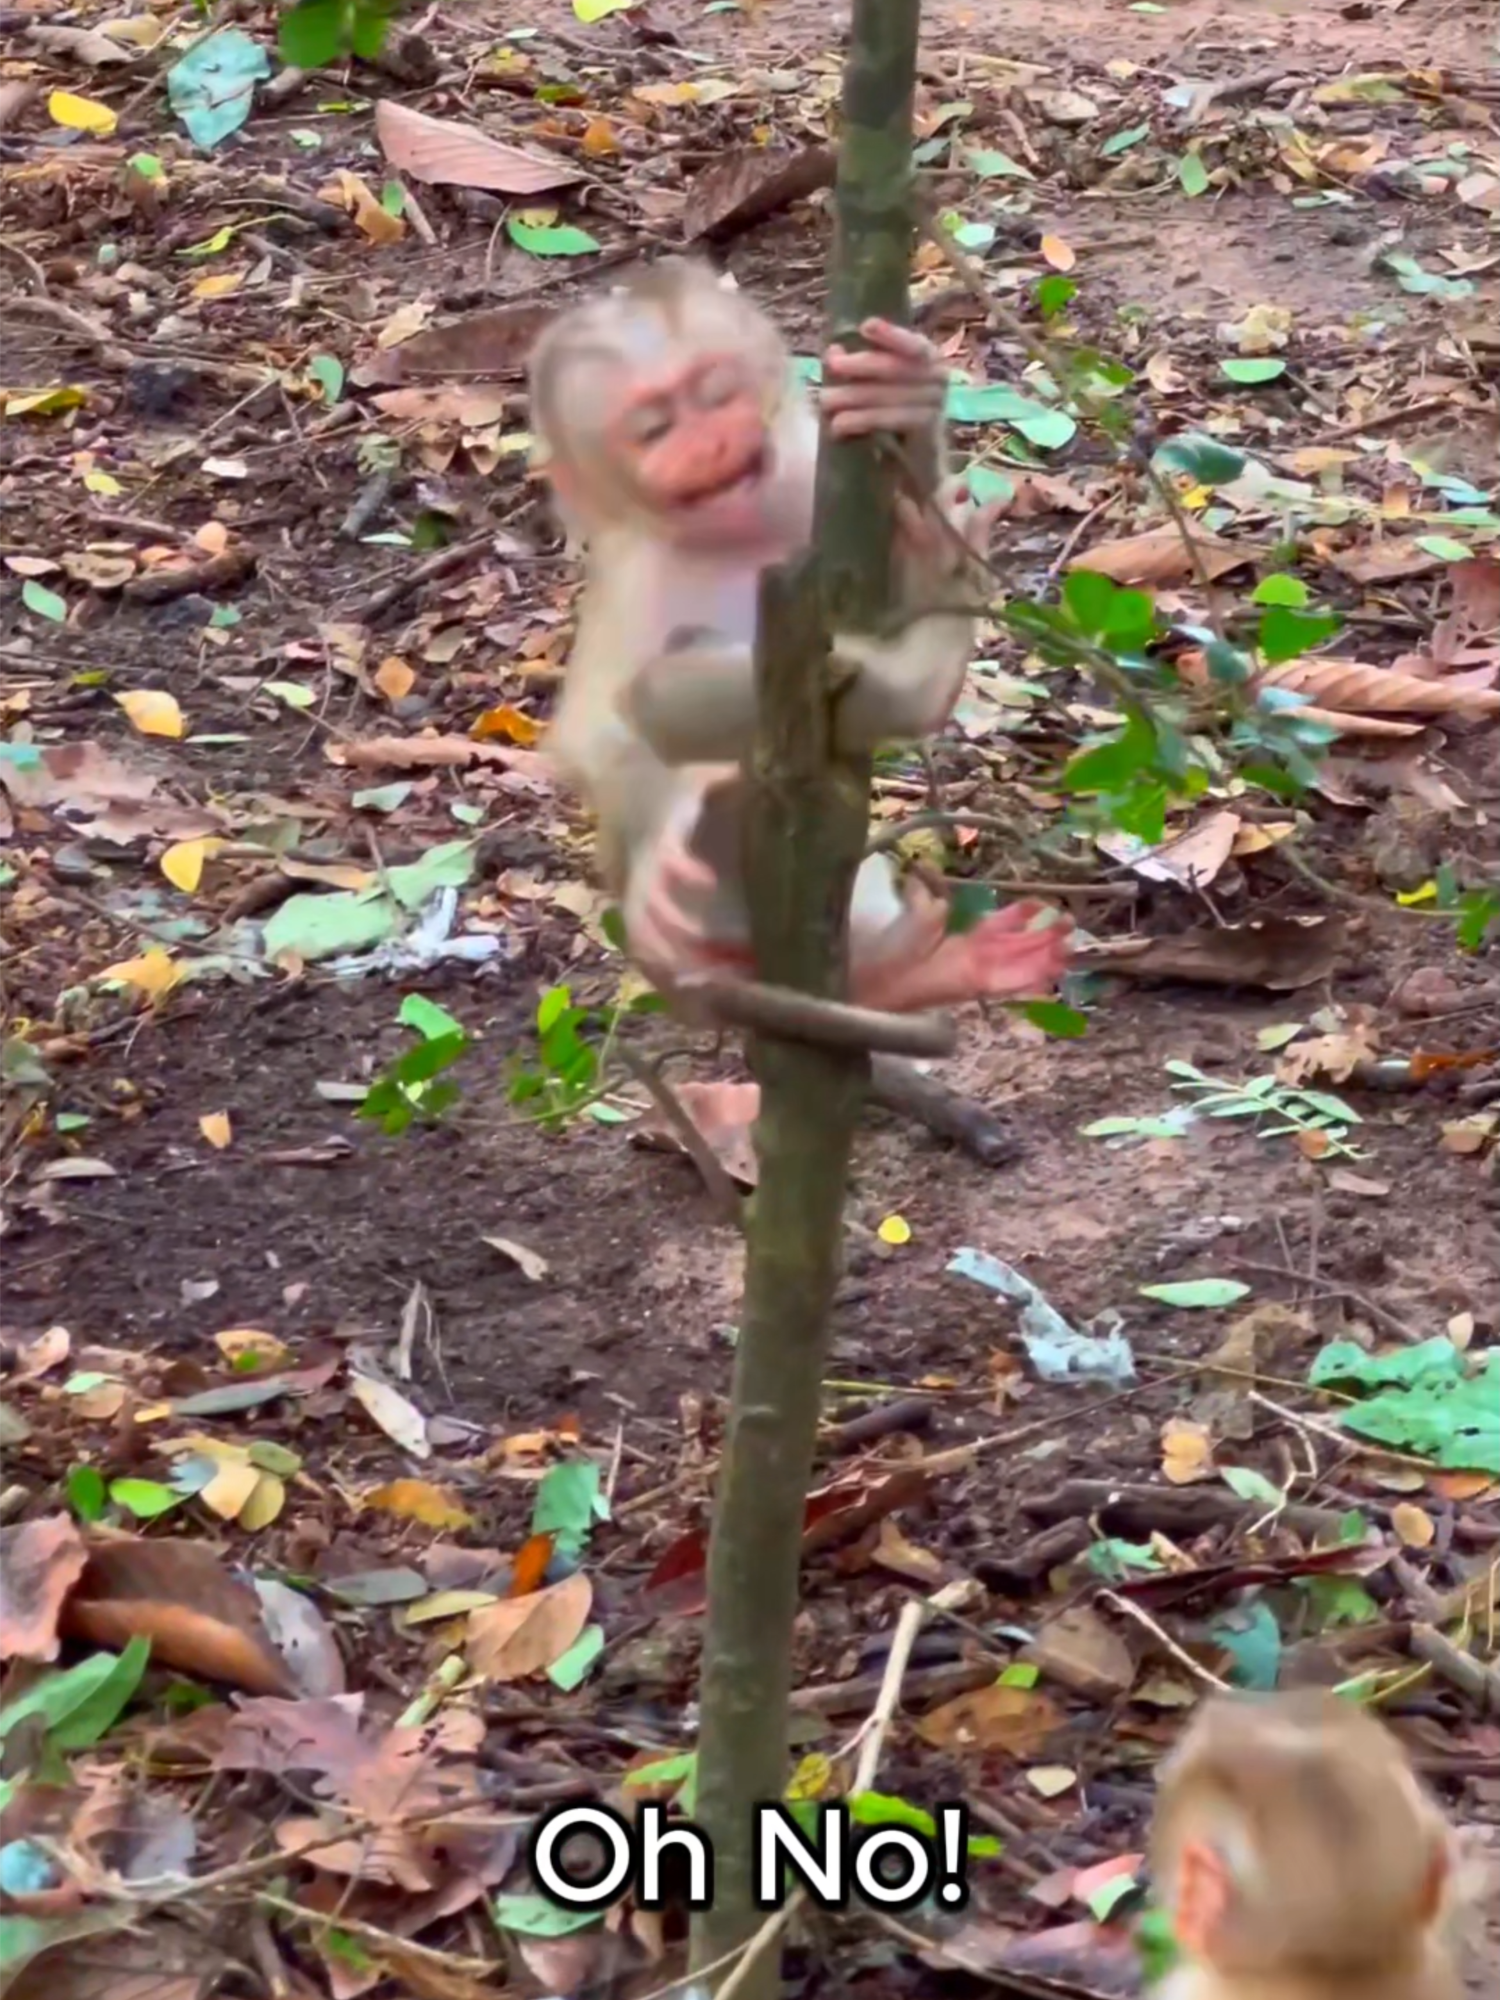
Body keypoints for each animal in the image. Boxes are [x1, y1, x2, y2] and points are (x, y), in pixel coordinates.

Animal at [527, 258, 1074, 1031]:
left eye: (716, 393)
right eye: (656, 428)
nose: (713, 441)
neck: (734, 539)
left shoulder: (804, 482)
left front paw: (901, 391)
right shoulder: (636, 577)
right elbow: (596, 736)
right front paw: (669, 818)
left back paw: (903, 974)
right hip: (701, 958)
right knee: (669, 692)